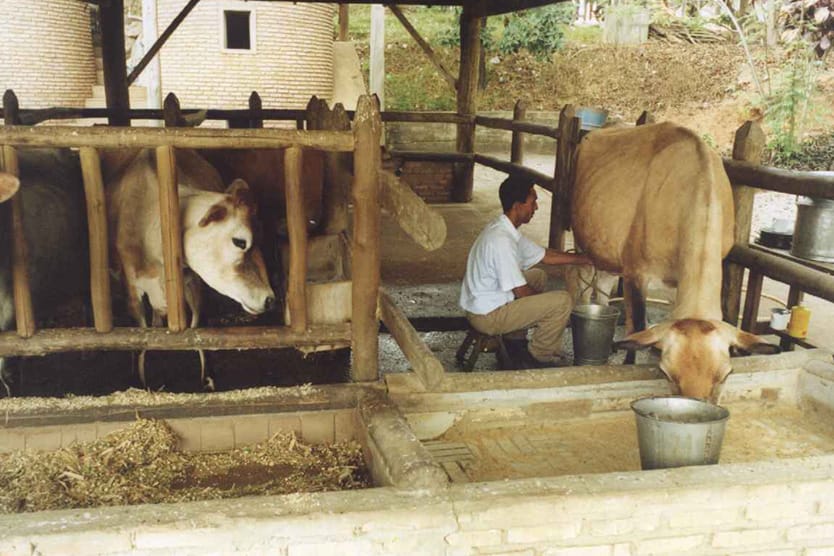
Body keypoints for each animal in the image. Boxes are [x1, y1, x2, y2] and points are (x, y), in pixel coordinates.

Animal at [568, 122, 772, 400]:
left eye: (726, 374)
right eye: (666, 373)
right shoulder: (636, 272)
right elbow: (636, 327)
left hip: (607, 250)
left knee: (604, 285)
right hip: (583, 242)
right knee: (584, 283)